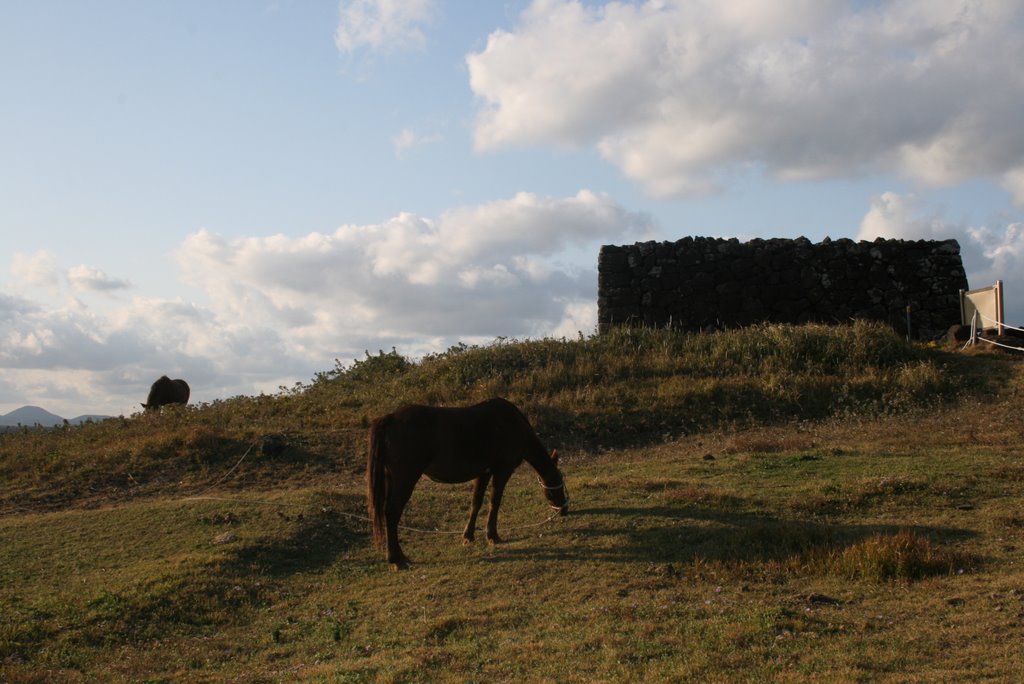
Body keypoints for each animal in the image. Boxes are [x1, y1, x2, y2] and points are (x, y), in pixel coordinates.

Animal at [366, 397, 569, 569]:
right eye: (558, 481)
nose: (564, 510)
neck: (512, 424)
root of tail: (389, 418)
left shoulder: (484, 472)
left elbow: (476, 502)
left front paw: (468, 535)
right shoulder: (502, 471)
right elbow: (494, 502)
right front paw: (492, 535)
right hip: (405, 480)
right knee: (392, 513)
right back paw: (396, 559)